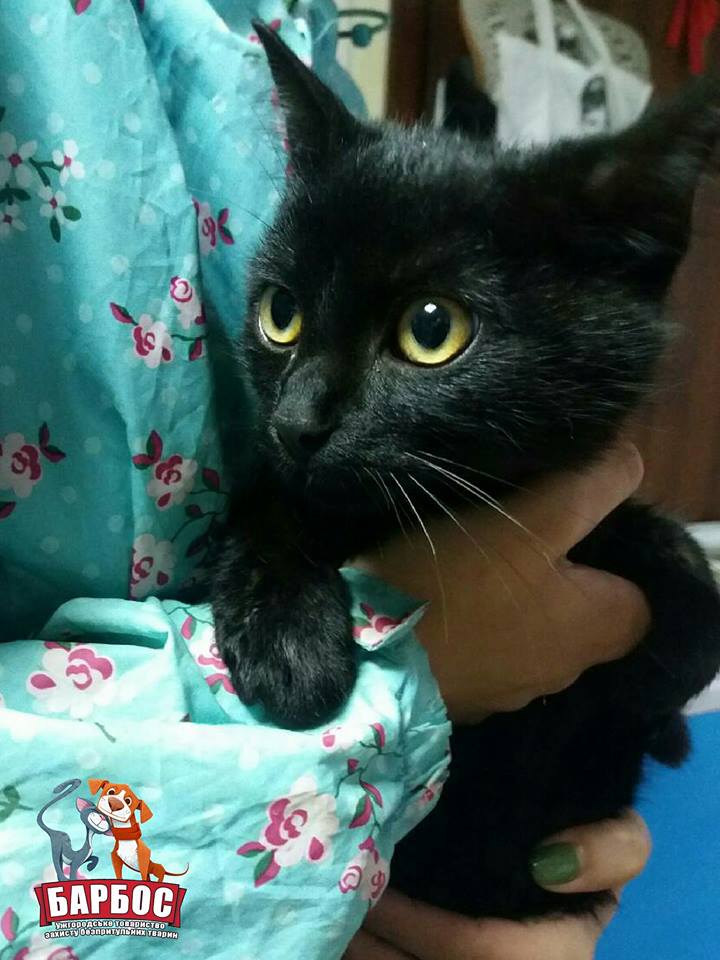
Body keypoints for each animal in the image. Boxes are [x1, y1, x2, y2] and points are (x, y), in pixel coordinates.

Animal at [212, 22, 720, 918]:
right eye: (282, 314)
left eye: (430, 329)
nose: (297, 422)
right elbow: (266, 503)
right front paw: (288, 639)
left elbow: (685, 576)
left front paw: (667, 678)